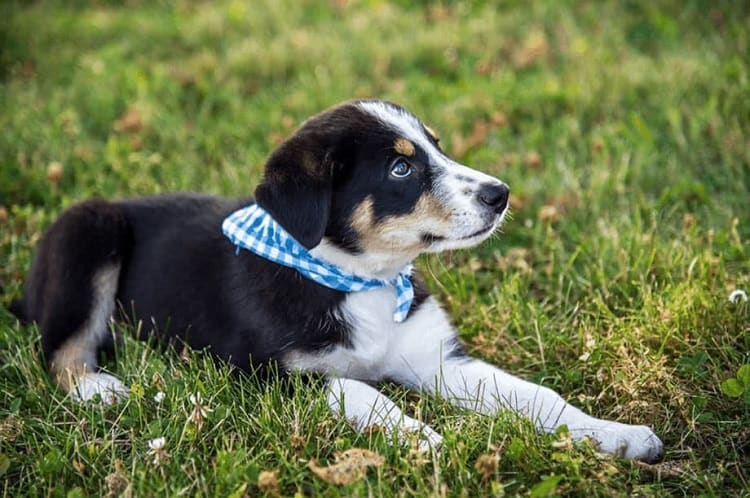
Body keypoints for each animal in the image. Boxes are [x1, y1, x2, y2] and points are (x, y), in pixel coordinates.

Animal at [8, 99, 660, 462]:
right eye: (401, 168)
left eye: (436, 148)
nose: (501, 194)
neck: (363, 281)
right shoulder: (262, 375)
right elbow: (360, 390)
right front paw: (421, 438)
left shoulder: (441, 361)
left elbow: (536, 397)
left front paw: (616, 435)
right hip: (88, 228)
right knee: (60, 350)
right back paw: (98, 389)